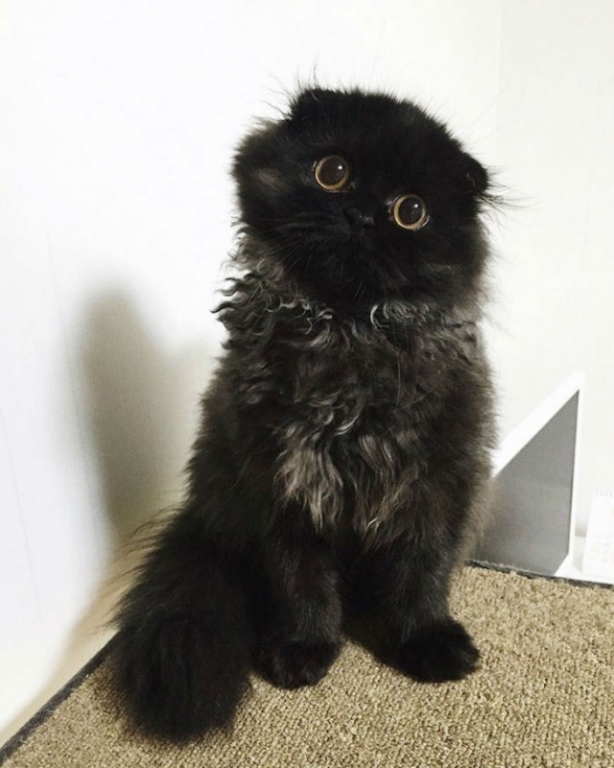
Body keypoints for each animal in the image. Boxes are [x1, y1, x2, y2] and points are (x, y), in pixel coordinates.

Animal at [113, 87, 498, 740]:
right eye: (333, 172)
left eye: (411, 212)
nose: (363, 215)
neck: (347, 337)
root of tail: (197, 516)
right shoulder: (284, 486)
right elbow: (303, 584)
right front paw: (303, 649)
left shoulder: (435, 483)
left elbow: (422, 576)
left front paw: (425, 642)